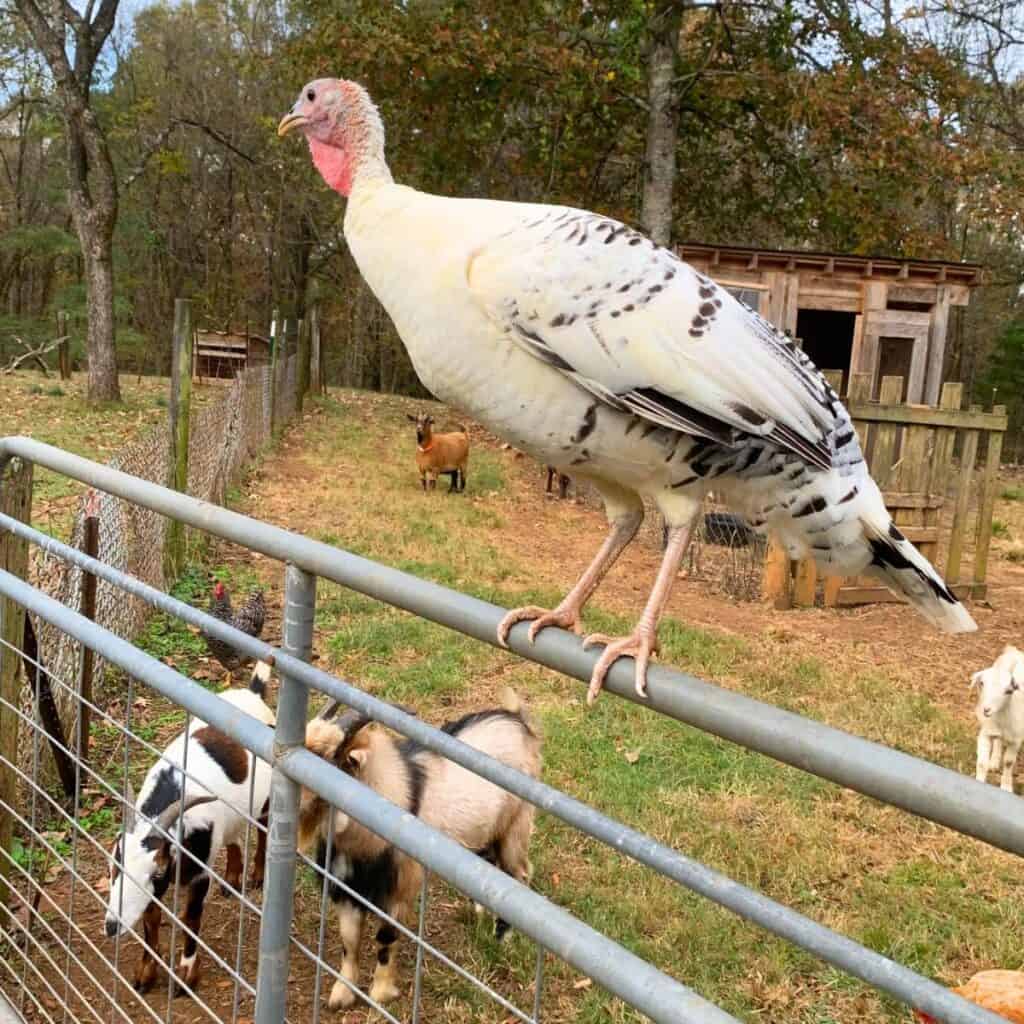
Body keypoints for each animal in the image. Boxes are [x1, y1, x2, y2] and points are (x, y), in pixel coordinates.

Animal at [103, 663, 276, 991]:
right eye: (114, 866)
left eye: (157, 871)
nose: (111, 926)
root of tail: (254, 692)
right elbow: (151, 918)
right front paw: (145, 974)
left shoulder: (199, 872)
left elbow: (190, 917)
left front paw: (185, 975)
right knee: (233, 835)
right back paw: (232, 879)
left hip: (268, 800)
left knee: (262, 830)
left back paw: (258, 876)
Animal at [299, 692, 544, 1011]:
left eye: (327, 759)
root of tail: (517, 719)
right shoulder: (347, 888)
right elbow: (349, 940)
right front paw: (342, 994)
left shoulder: (399, 891)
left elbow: (385, 939)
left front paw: (381, 994)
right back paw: (480, 913)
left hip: (515, 825)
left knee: (519, 873)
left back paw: (501, 937)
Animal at [970, 647, 1019, 790]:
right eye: (981, 683)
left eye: (1009, 691)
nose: (986, 710)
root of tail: (1015, 651)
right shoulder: (986, 732)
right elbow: (981, 762)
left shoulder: (1016, 740)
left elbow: (1008, 762)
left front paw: (1006, 787)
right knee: (998, 741)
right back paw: (994, 761)